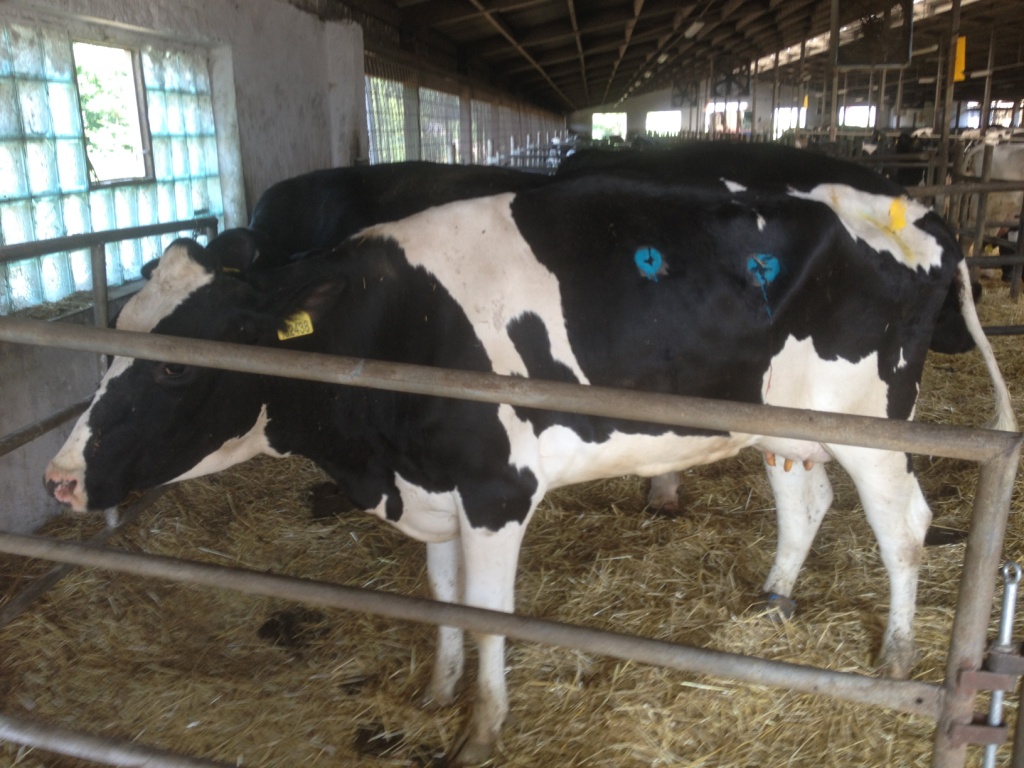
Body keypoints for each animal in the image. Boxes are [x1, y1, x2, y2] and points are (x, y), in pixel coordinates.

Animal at [44, 146, 1014, 765]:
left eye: (177, 365)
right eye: (112, 339)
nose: (58, 479)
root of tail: (911, 209)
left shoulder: (495, 490)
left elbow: (488, 618)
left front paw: (480, 732)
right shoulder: (431, 492)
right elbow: (440, 604)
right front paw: (436, 695)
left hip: (876, 428)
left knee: (904, 526)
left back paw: (896, 658)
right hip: (782, 424)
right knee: (806, 502)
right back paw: (773, 601)